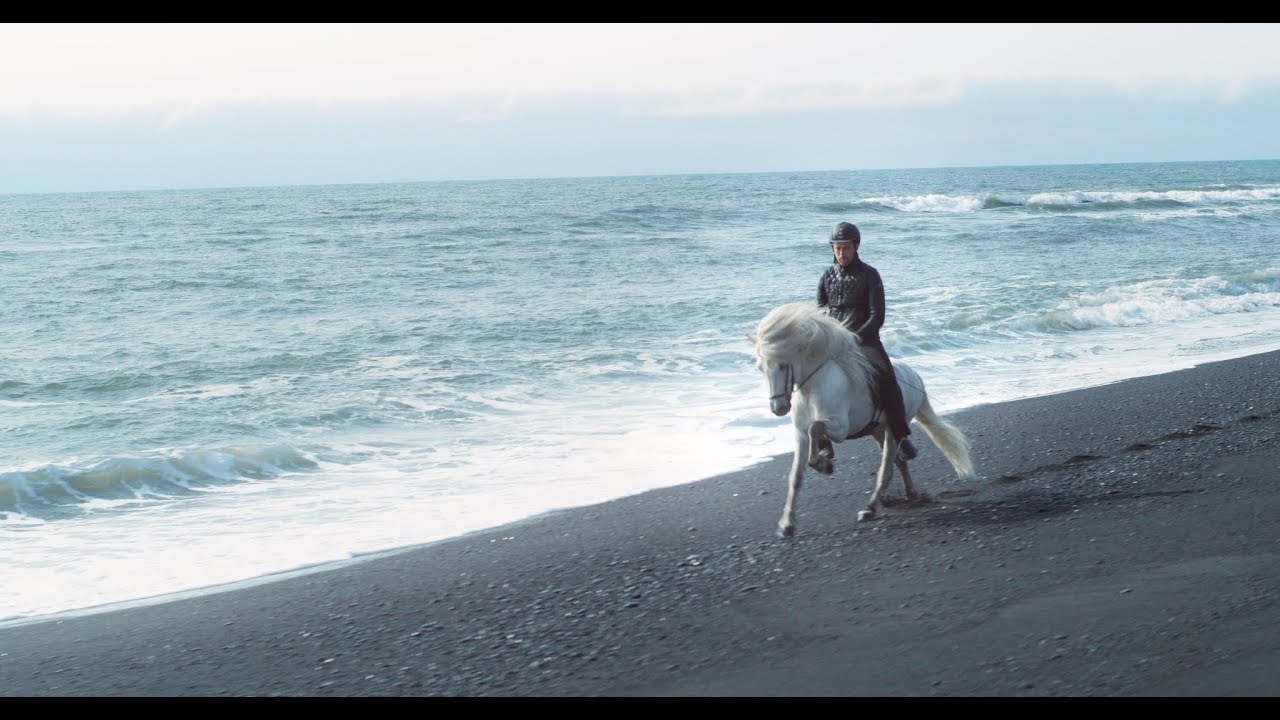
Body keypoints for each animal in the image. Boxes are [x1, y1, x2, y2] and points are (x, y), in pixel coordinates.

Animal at [748, 301, 975, 538]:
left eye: (783, 365)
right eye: (761, 368)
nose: (778, 408)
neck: (813, 386)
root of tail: (915, 376)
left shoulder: (839, 428)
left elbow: (815, 428)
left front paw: (824, 465)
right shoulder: (800, 434)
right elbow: (796, 476)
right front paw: (787, 523)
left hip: (891, 429)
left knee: (887, 468)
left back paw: (870, 508)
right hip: (877, 430)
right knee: (899, 463)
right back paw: (909, 494)